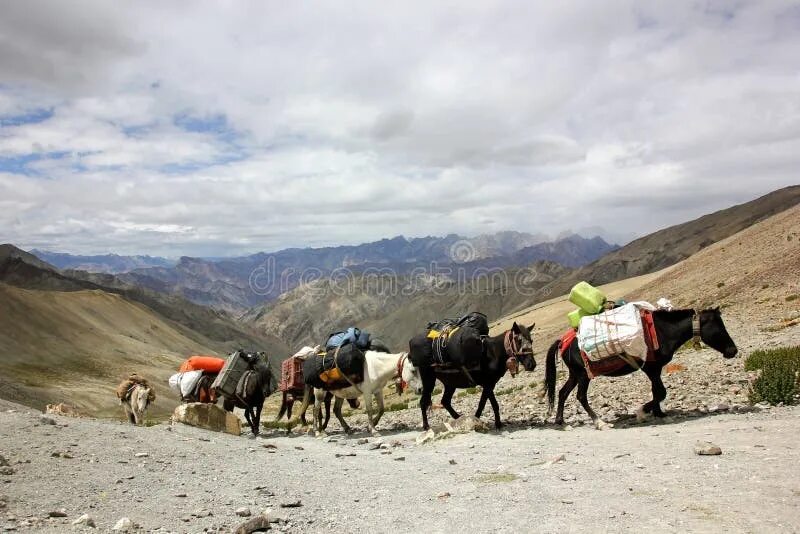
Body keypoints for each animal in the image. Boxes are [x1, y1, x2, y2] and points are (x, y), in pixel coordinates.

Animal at [404, 322, 536, 432]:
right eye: (518, 340)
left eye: (531, 340)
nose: (532, 364)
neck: (493, 353)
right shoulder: (487, 384)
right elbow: (490, 404)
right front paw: (491, 423)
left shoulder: (490, 385)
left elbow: (485, 403)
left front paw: (481, 420)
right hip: (429, 381)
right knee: (423, 402)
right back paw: (426, 426)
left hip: (450, 384)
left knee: (445, 401)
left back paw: (458, 418)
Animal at [544, 308, 736, 430]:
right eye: (718, 327)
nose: (733, 351)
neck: (663, 331)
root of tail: (563, 342)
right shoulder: (651, 368)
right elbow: (661, 392)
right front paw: (642, 412)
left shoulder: (655, 370)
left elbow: (657, 391)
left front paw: (659, 413)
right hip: (584, 375)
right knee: (580, 396)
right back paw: (600, 422)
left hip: (575, 374)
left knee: (562, 392)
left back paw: (560, 421)